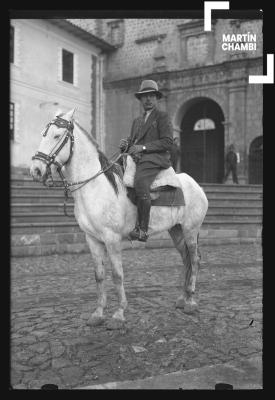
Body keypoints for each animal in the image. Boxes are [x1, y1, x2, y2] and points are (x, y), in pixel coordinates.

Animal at [30, 108, 209, 324]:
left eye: (57, 136)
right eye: (44, 134)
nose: (35, 170)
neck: (95, 186)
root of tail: (196, 185)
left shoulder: (112, 238)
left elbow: (117, 275)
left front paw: (118, 314)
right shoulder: (92, 239)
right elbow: (99, 275)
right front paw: (98, 314)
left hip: (190, 230)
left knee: (194, 259)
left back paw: (190, 301)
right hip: (176, 230)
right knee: (185, 259)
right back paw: (182, 298)